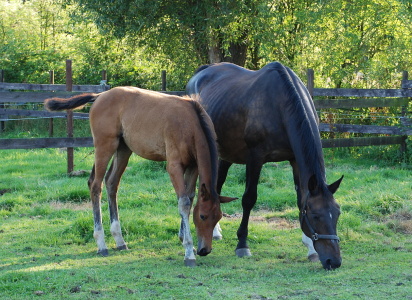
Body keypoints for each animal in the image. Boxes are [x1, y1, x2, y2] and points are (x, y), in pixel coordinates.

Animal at [44, 87, 235, 268]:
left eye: (219, 217)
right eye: (202, 216)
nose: (205, 250)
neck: (190, 123)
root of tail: (100, 96)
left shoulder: (193, 166)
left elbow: (189, 197)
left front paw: (185, 240)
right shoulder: (174, 166)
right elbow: (184, 203)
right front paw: (189, 251)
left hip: (123, 149)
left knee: (111, 183)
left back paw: (120, 240)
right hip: (105, 146)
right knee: (95, 185)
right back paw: (102, 244)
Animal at [187, 61, 344, 270]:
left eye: (337, 213)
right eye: (316, 216)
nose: (334, 261)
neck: (280, 105)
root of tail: (201, 72)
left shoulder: (295, 160)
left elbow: (300, 199)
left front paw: (310, 248)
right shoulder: (255, 158)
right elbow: (249, 199)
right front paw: (242, 245)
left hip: (226, 153)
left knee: (217, 186)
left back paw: (215, 232)